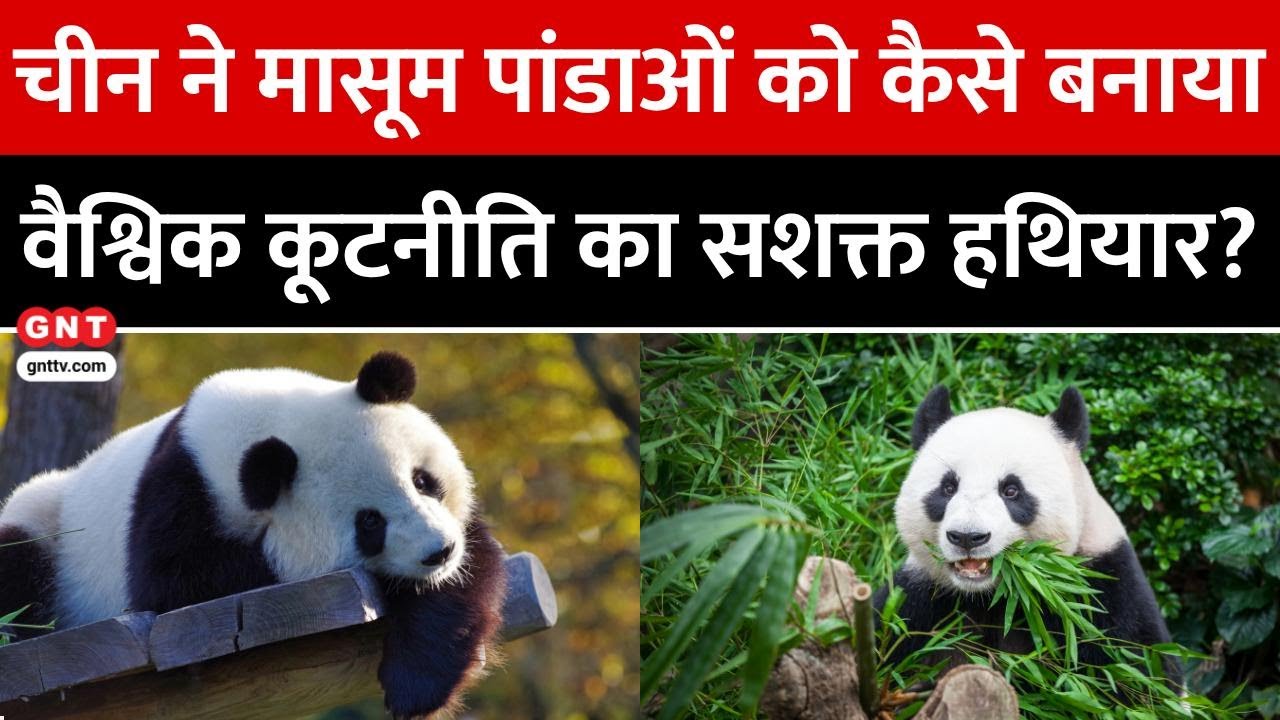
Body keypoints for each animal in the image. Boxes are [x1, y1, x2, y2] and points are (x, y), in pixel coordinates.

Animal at [0, 351, 507, 719]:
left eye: (423, 480)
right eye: (369, 523)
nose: (439, 551)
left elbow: (469, 570)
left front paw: (415, 685)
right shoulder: (176, 497)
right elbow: (175, 585)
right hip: (46, 521)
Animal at [876, 385, 1180, 685]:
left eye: (1011, 490)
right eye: (948, 488)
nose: (967, 537)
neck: (993, 596)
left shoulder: (1102, 588)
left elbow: (1133, 668)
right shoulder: (919, 599)